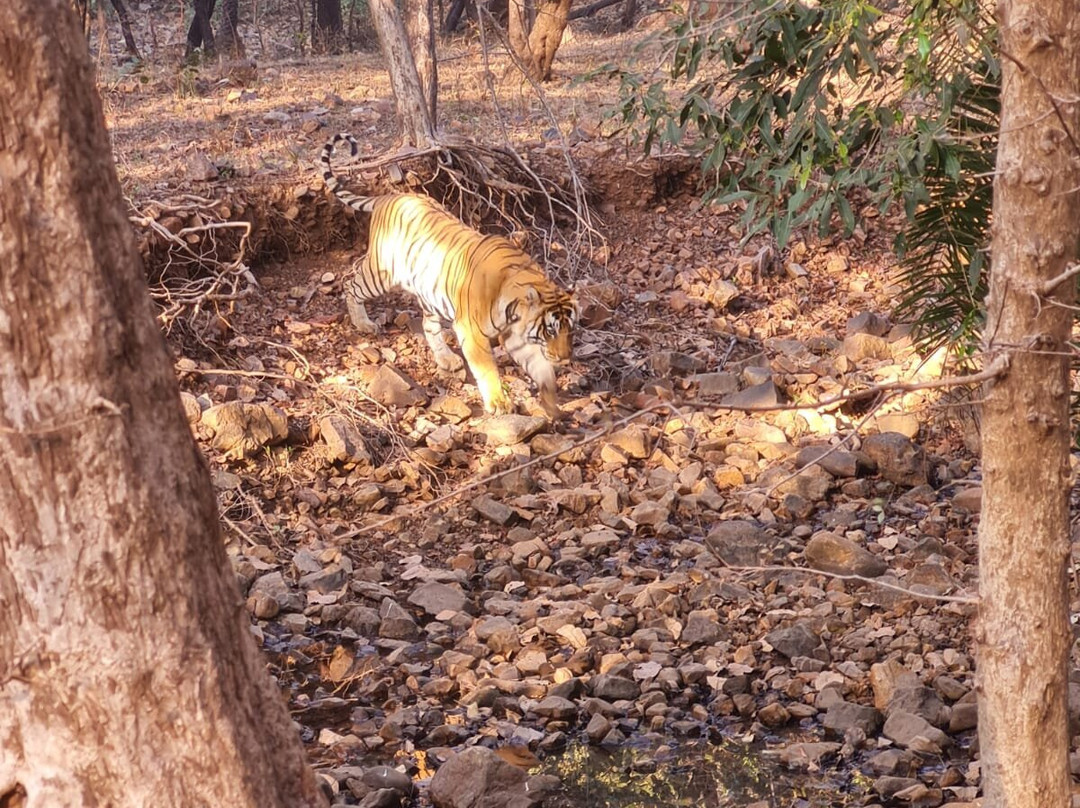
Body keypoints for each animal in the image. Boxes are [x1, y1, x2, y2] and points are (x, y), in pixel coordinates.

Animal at [317, 130, 578, 419]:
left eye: (570, 329)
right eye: (550, 331)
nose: (566, 358)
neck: (516, 306)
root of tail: (389, 196)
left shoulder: (516, 336)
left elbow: (540, 368)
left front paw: (552, 403)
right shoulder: (472, 331)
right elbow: (487, 369)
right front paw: (498, 402)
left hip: (429, 292)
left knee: (429, 327)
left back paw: (446, 359)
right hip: (381, 273)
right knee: (352, 285)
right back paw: (363, 323)